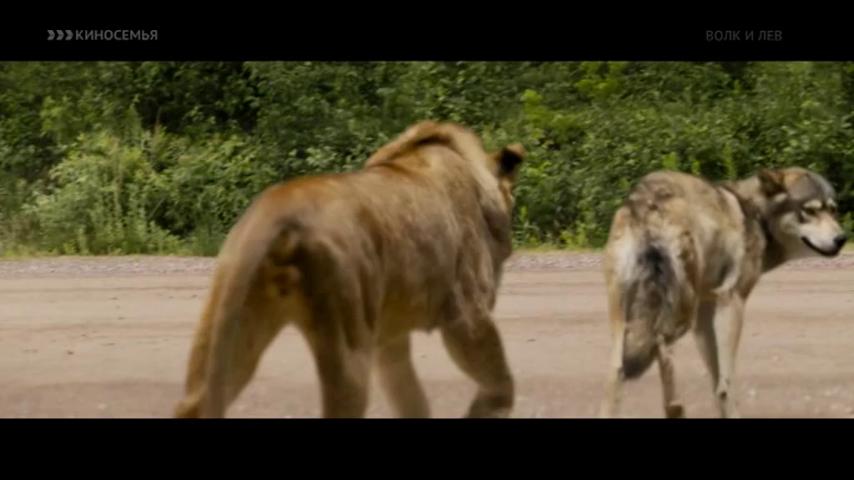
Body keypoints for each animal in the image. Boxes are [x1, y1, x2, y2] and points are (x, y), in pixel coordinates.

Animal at [174, 121, 525, 418]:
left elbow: (409, 396)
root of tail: (281, 204)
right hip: (348, 332)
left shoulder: (390, 339)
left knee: (195, 402)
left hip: (235, 322)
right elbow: (500, 379)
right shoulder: (466, 314)